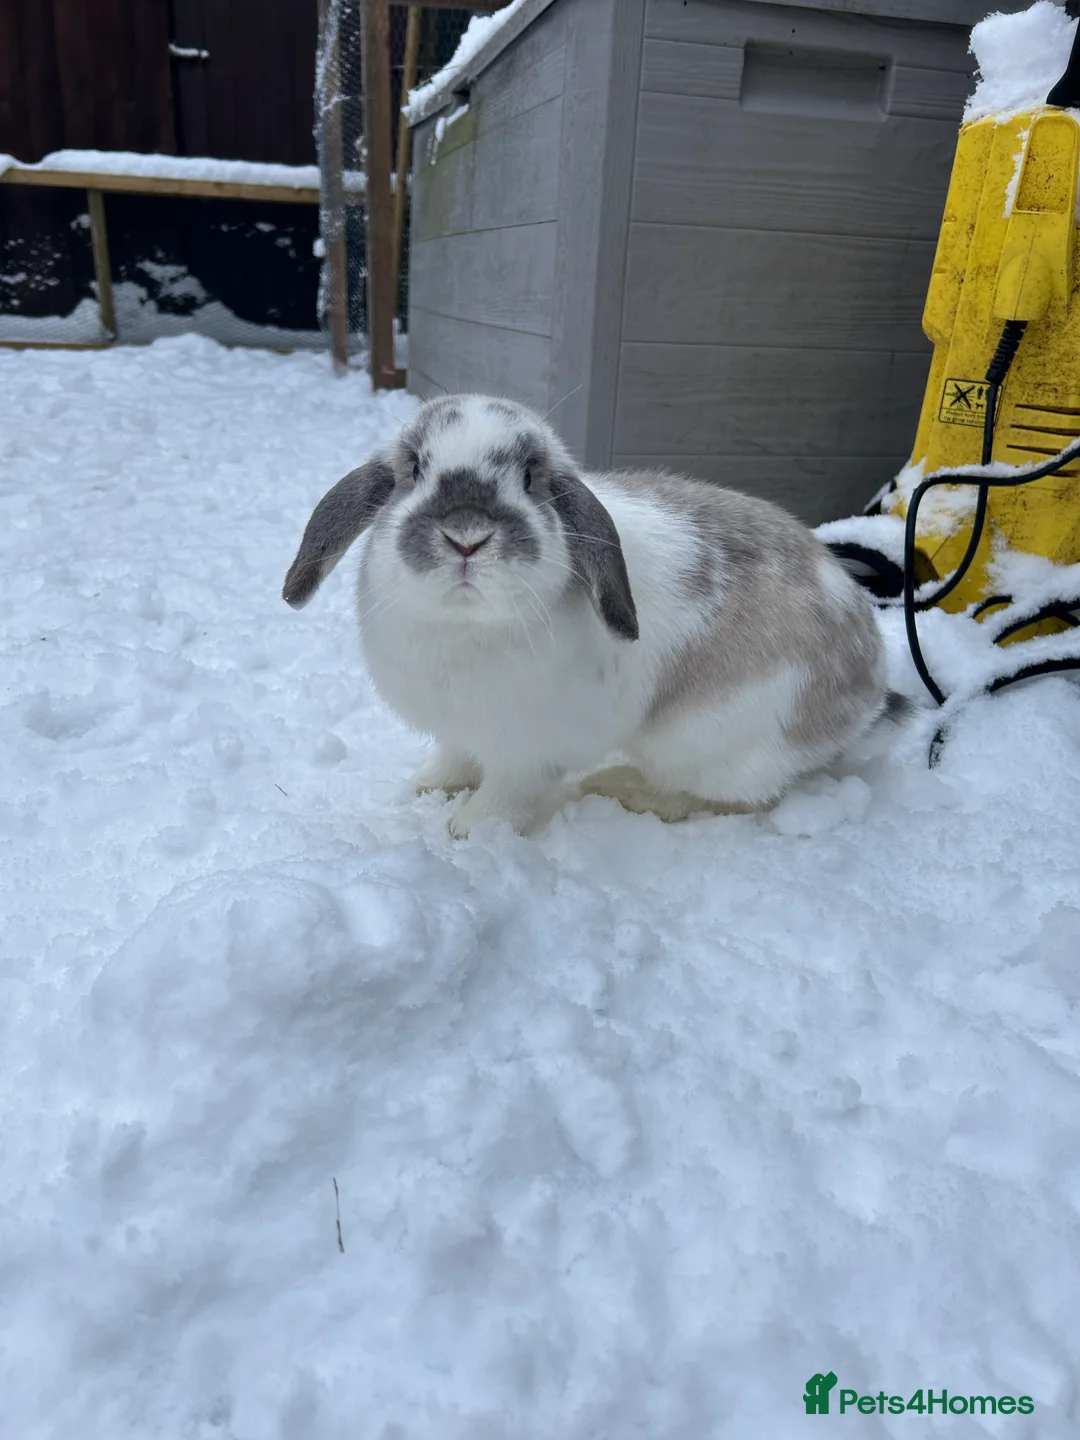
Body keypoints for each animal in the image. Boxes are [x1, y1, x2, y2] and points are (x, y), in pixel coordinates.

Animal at [283, 393, 907, 838]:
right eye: (413, 469)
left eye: (530, 478)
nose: (466, 536)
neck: (466, 624)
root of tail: (869, 696)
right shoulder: (460, 732)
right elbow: (453, 758)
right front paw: (424, 789)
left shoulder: (527, 753)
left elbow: (505, 796)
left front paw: (466, 829)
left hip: (713, 744)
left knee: (727, 796)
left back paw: (622, 787)